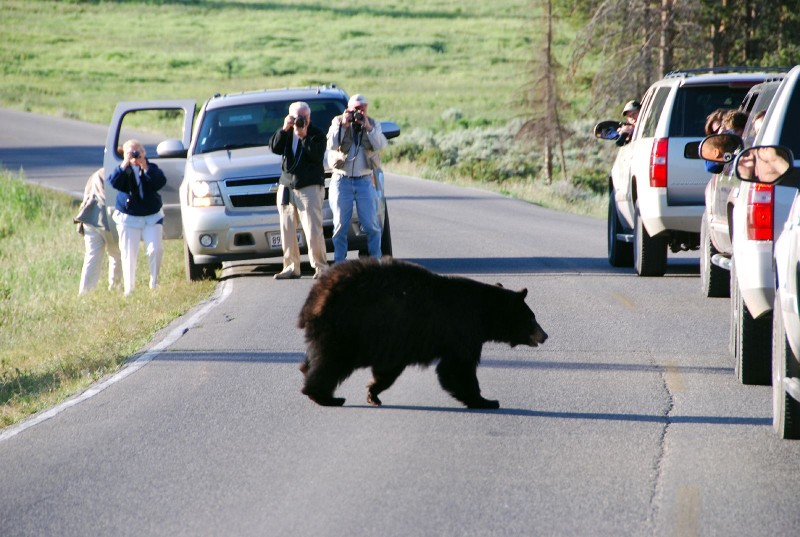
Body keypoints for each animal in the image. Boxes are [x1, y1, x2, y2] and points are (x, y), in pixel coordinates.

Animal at [296, 258, 548, 408]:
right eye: (531, 317)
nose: (545, 335)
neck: (482, 312)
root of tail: (315, 296)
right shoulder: (461, 330)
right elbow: (457, 369)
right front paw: (485, 400)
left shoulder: (397, 342)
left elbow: (388, 370)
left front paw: (373, 392)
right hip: (346, 328)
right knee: (331, 363)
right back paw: (325, 396)